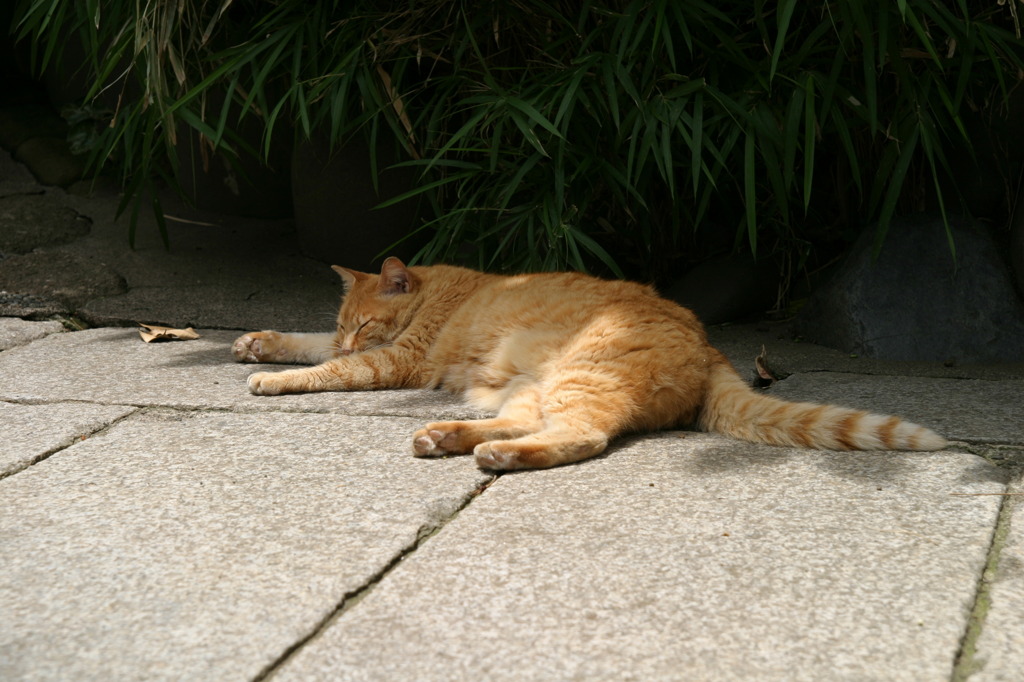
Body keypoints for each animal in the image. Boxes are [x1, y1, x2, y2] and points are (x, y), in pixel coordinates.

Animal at [232, 254, 942, 466]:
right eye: (344, 324)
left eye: (365, 323)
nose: (352, 337)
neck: (442, 286)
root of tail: (708, 342)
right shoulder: (371, 351)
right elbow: (307, 343)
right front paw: (257, 343)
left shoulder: (393, 360)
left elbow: (327, 371)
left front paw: (272, 376)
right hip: (529, 386)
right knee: (530, 422)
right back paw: (447, 436)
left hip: (580, 376)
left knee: (583, 436)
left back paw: (493, 455)